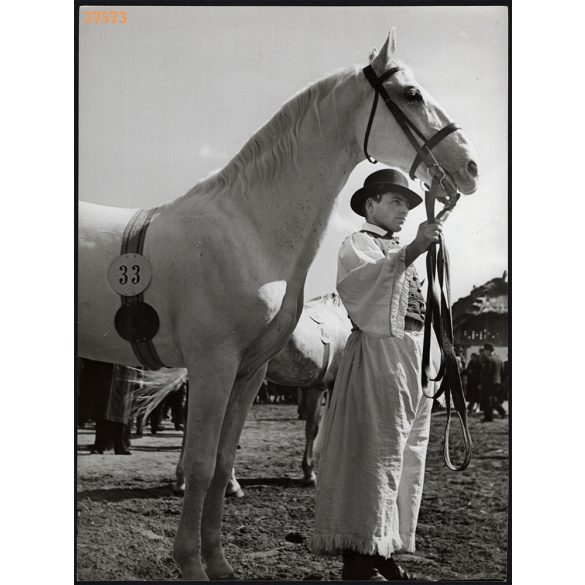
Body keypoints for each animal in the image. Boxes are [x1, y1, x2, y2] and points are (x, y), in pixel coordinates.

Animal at [77, 32, 476, 580]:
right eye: (412, 94)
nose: (471, 167)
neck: (247, 230)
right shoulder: (214, 365)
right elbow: (202, 462)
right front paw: (192, 564)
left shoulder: (248, 371)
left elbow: (223, 462)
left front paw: (219, 563)